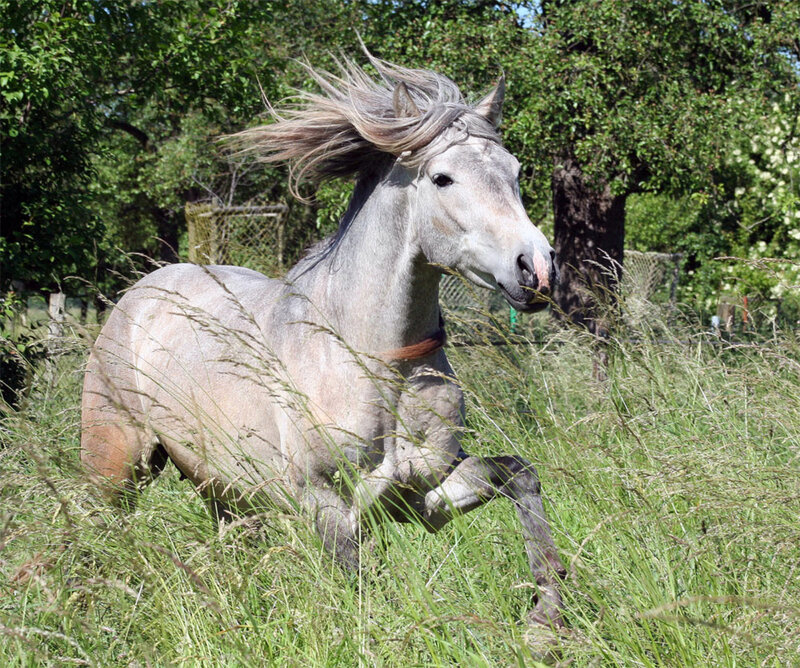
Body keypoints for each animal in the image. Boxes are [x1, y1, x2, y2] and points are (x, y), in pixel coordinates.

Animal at [80, 54, 566, 628]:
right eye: (442, 178)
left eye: (516, 171)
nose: (536, 269)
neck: (373, 361)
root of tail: (140, 293)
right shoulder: (324, 501)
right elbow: (360, 579)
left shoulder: (428, 485)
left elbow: (516, 475)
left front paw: (547, 613)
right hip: (117, 464)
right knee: (105, 530)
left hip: (218, 483)